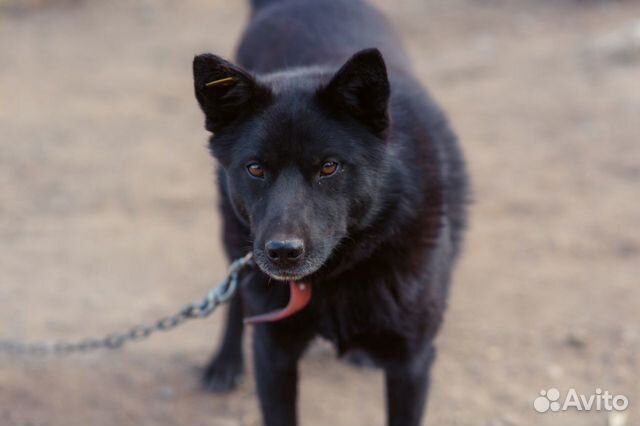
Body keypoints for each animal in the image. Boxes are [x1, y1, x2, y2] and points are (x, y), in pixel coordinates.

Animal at [192, 0, 468, 426]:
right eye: (255, 168)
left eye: (328, 167)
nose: (283, 253)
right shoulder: (273, 352)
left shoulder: (412, 362)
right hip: (234, 234)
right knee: (235, 296)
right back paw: (224, 364)